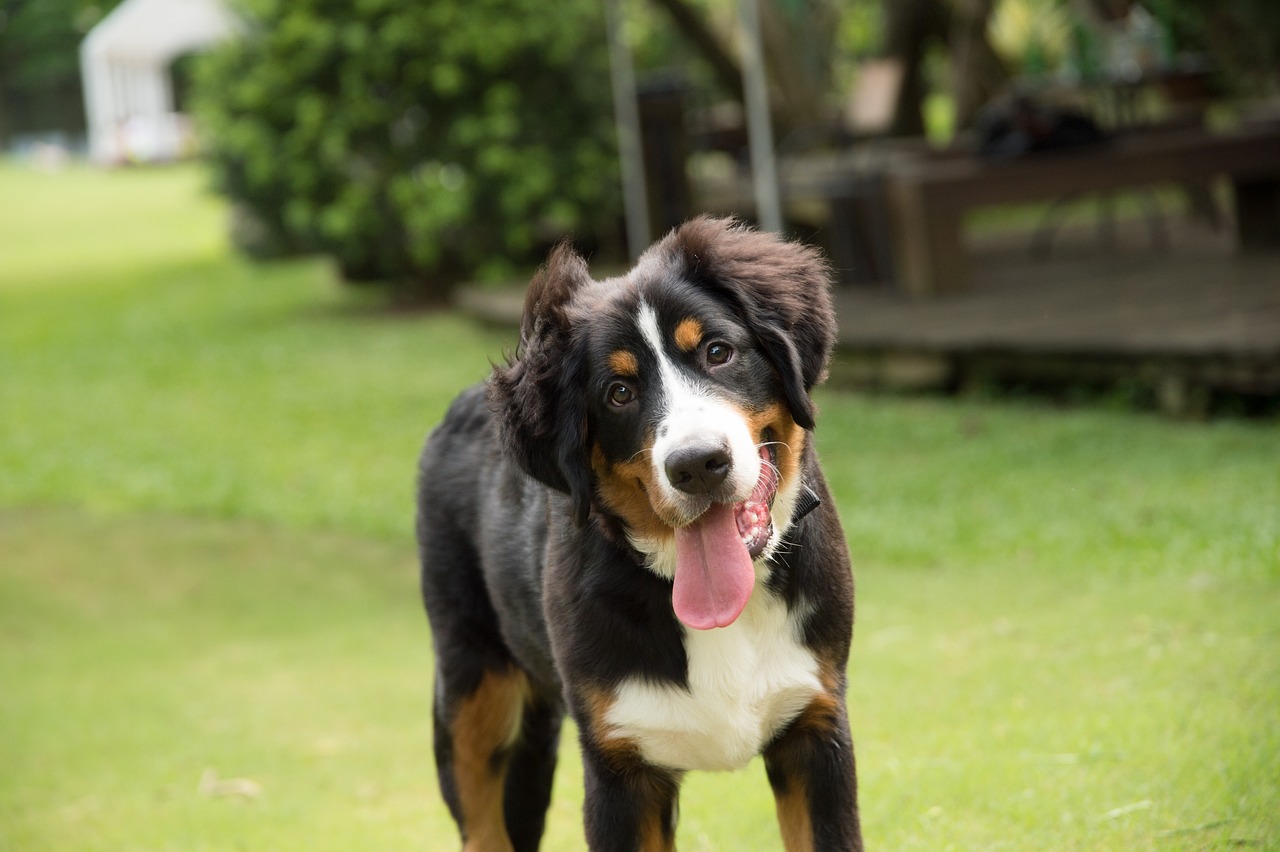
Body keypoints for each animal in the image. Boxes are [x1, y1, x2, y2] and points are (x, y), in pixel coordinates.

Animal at [417, 218, 860, 849]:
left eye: (718, 352)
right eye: (619, 392)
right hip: (472, 688)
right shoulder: (619, 765)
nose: (697, 463)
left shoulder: (816, 728)